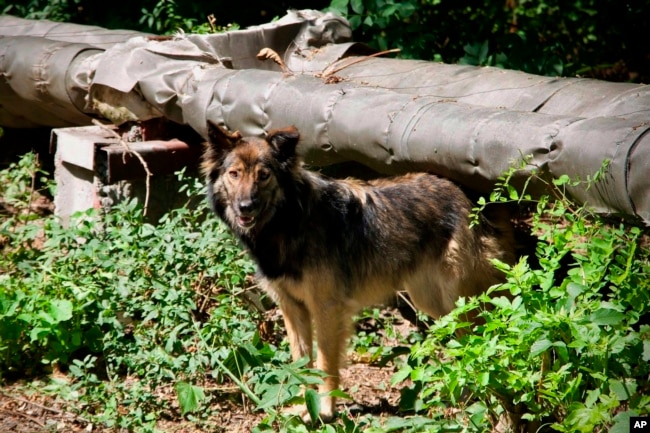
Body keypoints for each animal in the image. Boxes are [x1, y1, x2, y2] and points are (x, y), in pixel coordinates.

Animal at [200, 121, 512, 422]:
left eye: (263, 175)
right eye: (234, 174)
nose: (245, 207)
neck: (288, 221)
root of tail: (466, 198)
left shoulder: (326, 308)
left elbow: (325, 363)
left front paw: (324, 411)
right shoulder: (292, 308)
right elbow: (301, 363)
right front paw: (303, 407)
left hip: (457, 302)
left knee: (484, 337)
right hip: (431, 301)